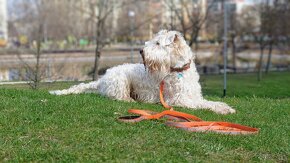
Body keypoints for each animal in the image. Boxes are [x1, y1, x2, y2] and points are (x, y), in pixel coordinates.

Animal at [50, 29, 236, 114]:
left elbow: (209, 102)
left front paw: (225, 106)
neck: (179, 69)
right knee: (118, 96)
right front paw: (222, 109)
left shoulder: (193, 95)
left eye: (158, 43)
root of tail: (102, 79)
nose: (141, 51)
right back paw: (130, 100)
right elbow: (202, 104)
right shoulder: (178, 99)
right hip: (121, 80)